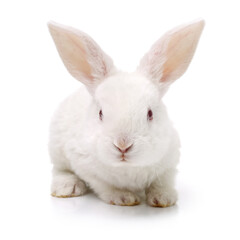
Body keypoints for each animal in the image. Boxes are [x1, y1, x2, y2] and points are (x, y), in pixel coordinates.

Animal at [48, 19, 204, 206]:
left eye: (150, 114)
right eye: (100, 113)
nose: (123, 145)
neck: (128, 167)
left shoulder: (169, 163)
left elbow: (161, 182)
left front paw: (164, 199)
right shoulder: (86, 166)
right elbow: (105, 186)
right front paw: (124, 197)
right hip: (57, 150)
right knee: (60, 170)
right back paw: (66, 187)